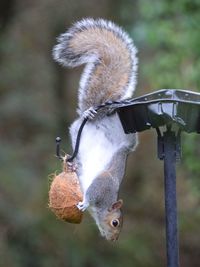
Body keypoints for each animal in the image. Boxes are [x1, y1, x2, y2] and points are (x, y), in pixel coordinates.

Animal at [52, 17, 138, 242]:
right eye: (115, 223)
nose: (113, 240)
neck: (103, 206)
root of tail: (100, 119)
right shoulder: (101, 188)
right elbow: (90, 196)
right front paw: (84, 203)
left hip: (85, 132)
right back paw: (90, 113)